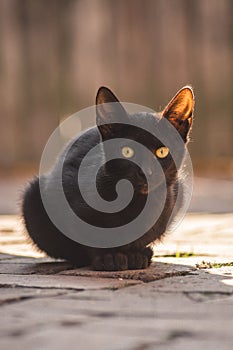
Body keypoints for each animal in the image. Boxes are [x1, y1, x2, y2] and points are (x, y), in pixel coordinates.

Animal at [21, 86, 194, 272]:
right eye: (127, 151)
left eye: (162, 151)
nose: (146, 171)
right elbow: (90, 238)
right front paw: (108, 257)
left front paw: (135, 255)